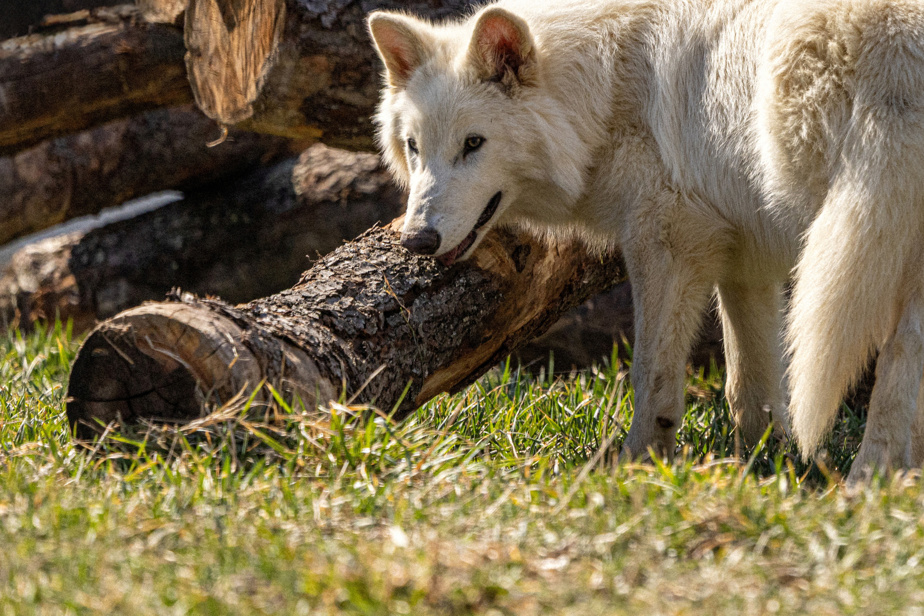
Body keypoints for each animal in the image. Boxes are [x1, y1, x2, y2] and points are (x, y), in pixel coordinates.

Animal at [367, 0, 924, 482]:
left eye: (473, 144)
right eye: (414, 147)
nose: (417, 240)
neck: (607, 86)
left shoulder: (668, 244)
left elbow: (651, 376)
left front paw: (636, 466)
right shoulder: (745, 262)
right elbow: (749, 388)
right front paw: (763, 468)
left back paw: (865, 483)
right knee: (902, 372)